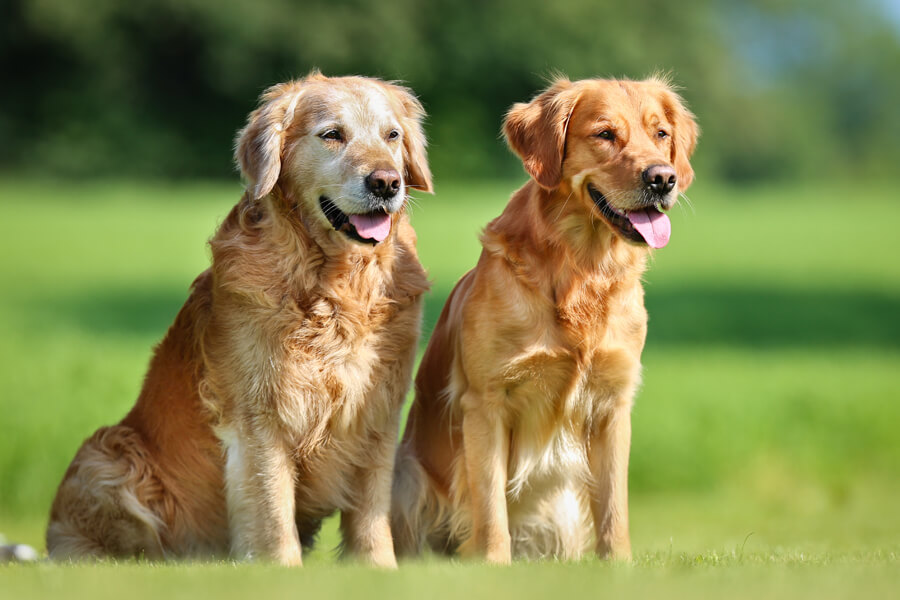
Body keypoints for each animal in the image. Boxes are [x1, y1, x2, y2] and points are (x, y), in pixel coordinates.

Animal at [47, 72, 434, 564]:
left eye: (392, 136)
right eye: (332, 135)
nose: (386, 182)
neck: (334, 284)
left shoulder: (377, 412)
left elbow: (370, 514)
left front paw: (378, 568)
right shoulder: (259, 416)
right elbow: (271, 509)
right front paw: (281, 567)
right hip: (106, 455)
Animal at [392, 75, 696, 564]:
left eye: (661, 134)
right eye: (605, 134)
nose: (663, 178)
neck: (581, 269)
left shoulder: (613, 405)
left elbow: (614, 505)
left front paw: (619, 566)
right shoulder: (486, 403)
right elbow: (490, 506)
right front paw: (493, 563)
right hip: (406, 477)